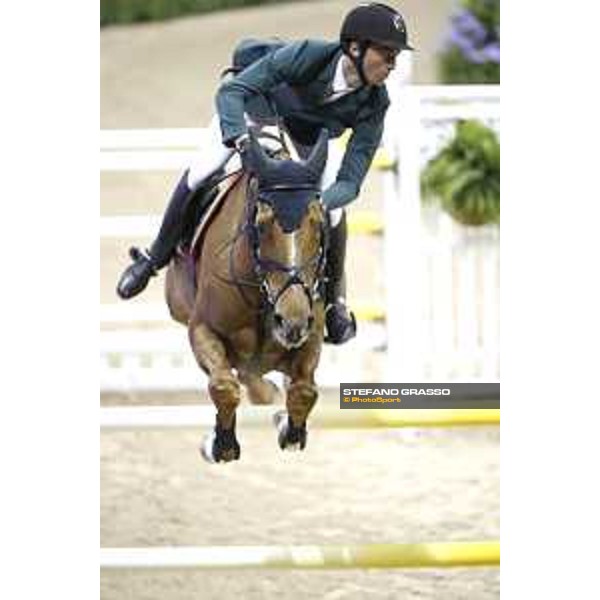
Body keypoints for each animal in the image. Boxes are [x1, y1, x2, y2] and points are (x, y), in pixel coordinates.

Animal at [164, 127, 328, 464]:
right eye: (262, 225)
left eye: (318, 224)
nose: (291, 323)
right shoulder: (201, 328)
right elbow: (224, 386)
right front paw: (220, 444)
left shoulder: (312, 332)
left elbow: (304, 390)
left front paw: (290, 430)